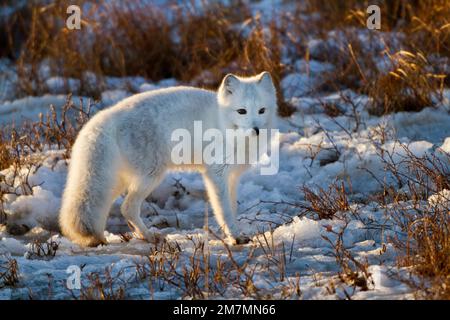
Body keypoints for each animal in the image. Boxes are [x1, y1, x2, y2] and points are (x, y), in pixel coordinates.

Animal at [59, 73, 278, 248]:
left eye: (262, 110)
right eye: (241, 111)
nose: (256, 130)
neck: (223, 125)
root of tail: (104, 118)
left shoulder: (232, 177)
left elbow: (231, 207)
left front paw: (235, 233)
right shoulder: (215, 174)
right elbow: (223, 209)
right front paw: (235, 237)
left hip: (117, 180)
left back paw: (140, 236)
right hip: (151, 175)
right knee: (127, 208)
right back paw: (150, 236)